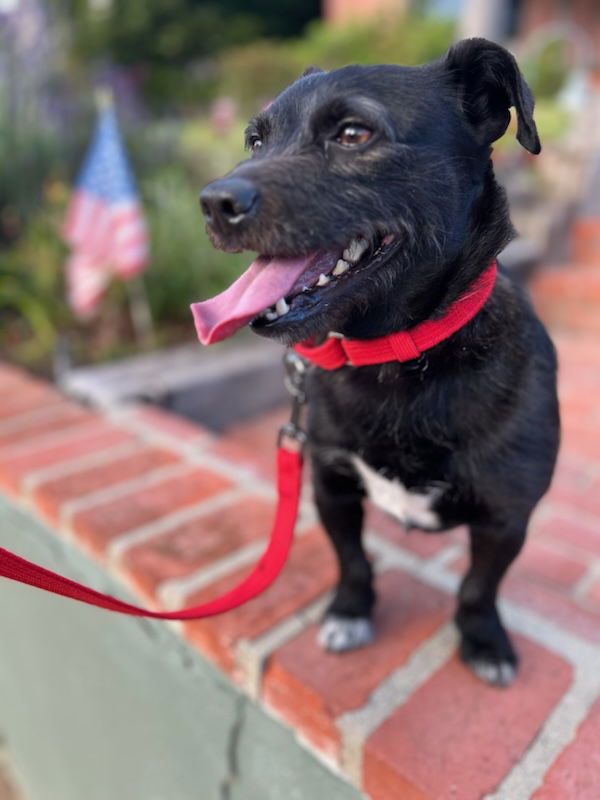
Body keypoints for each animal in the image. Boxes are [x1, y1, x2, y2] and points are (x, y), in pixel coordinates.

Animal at [195, 39, 560, 688]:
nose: (213, 202)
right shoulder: (331, 485)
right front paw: (350, 612)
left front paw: (484, 640)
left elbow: (477, 588)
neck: (398, 361)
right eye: (255, 141)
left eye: (353, 133)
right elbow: (353, 560)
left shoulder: (506, 519)